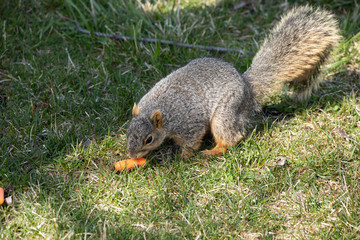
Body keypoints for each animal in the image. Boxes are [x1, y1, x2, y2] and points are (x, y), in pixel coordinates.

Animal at [126, 5, 340, 158]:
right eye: (128, 131)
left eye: (149, 139)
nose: (132, 155)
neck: (159, 108)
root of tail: (247, 86)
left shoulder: (188, 124)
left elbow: (192, 142)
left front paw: (183, 158)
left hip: (226, 111)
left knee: (231, 136)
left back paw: (213, 151)